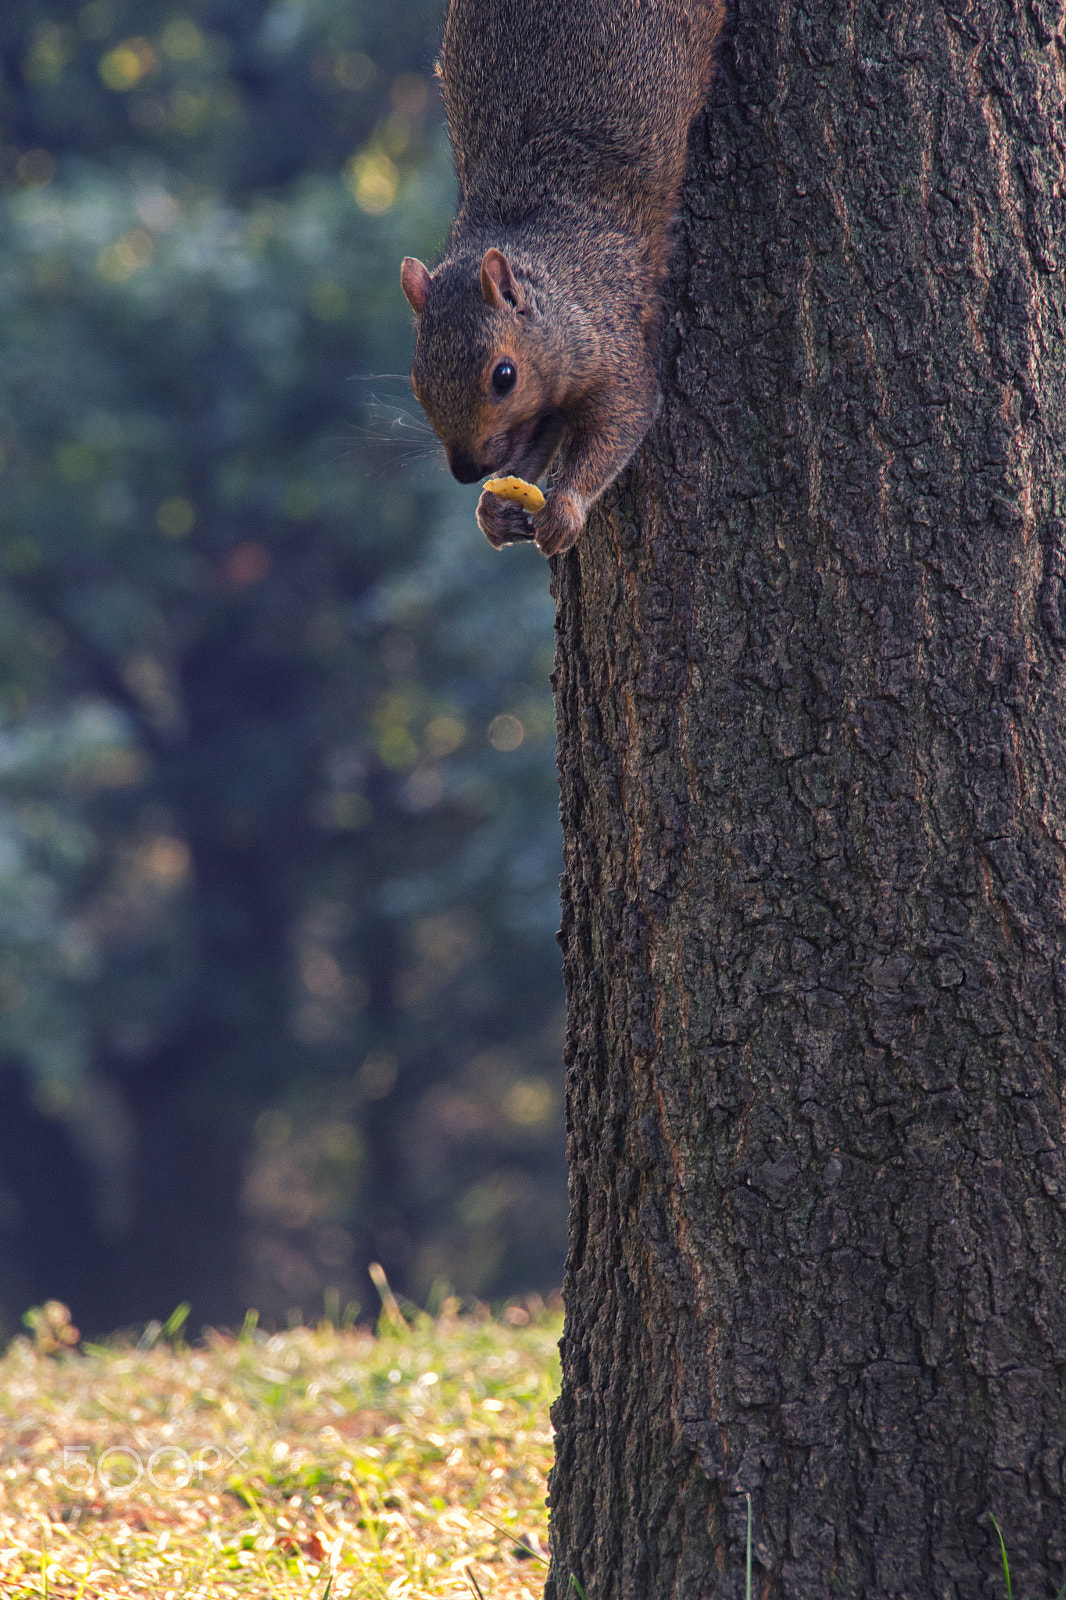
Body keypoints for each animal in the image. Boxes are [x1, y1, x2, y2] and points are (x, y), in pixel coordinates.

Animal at [400, 0, 725, 558]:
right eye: (419, 385)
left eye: (503, 377)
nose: (467, 472)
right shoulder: (544, 399)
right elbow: (536, 438)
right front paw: (492, 509)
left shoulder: (614, 346)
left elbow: (623, 416)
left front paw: (565, 508)